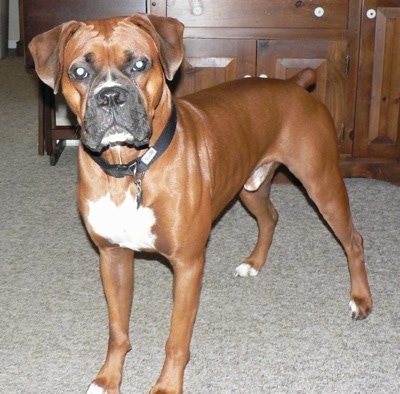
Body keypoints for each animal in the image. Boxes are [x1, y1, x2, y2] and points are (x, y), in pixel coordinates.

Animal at [29, 13, 374, 394]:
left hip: (322, 185)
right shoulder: (113, 257)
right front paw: (108, 379)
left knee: (353, 241)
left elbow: (176, 339)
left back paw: (361, 299)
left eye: (140, 64)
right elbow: (117, 329)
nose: (110, 96)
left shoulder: (188, 264)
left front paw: (166, 386)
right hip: (249, 187)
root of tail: (293, 83)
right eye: (79, 72)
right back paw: (254, 263)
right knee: (270, 217)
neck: (130, 170)